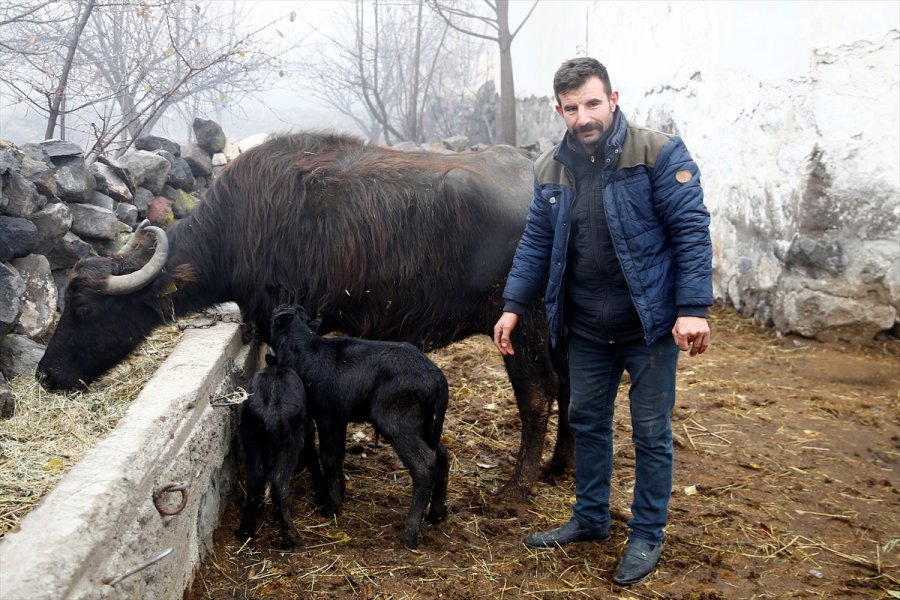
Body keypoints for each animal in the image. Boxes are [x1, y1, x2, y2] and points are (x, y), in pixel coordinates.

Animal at [38, 132, 572, 496]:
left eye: (83, 307)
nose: (46, 375)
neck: (234, 232)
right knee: (570, 390)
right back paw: (556, 467)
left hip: (520, 327)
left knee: (538, 395)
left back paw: (518, 488)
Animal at [268, 304, 450, 548]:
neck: (307, 350)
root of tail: (437, 375)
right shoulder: (340, 419)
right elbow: (338, 457)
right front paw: (340, 495)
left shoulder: (328, 416)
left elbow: (329, 459)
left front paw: (331, 507)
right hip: (425, 421)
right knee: (442, 454)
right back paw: (437, 513)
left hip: (399, 422)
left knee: (424, 464)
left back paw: (410, 533)